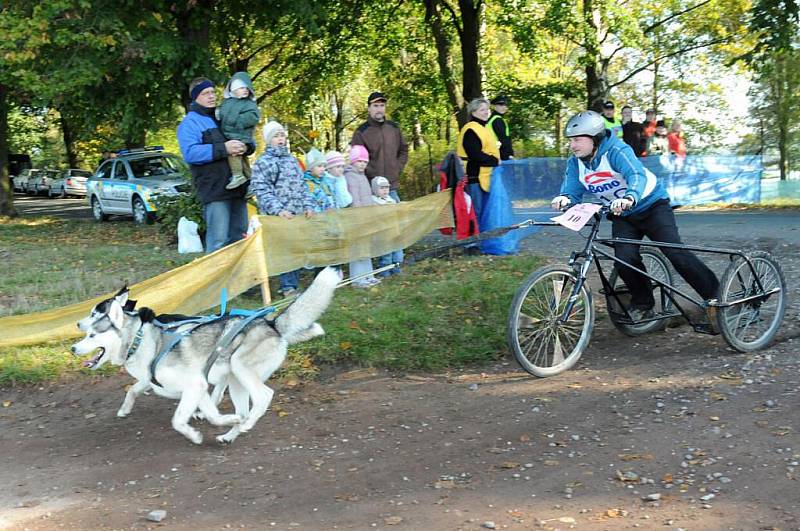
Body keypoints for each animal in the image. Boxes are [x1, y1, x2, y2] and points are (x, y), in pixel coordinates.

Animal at [71, 266, 340, 444]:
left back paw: (247, 424)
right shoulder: (196, 387)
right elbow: (211, 414)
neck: (141, 340)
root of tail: (271, 324)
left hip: (240, 368)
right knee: (243, 409)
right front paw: (225, 420)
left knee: (264, 397)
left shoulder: (194, 385)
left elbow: (178, 420)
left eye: (92, 333)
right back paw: (232, 432)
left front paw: (194, 435)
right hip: (235, 380)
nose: (73, 347)